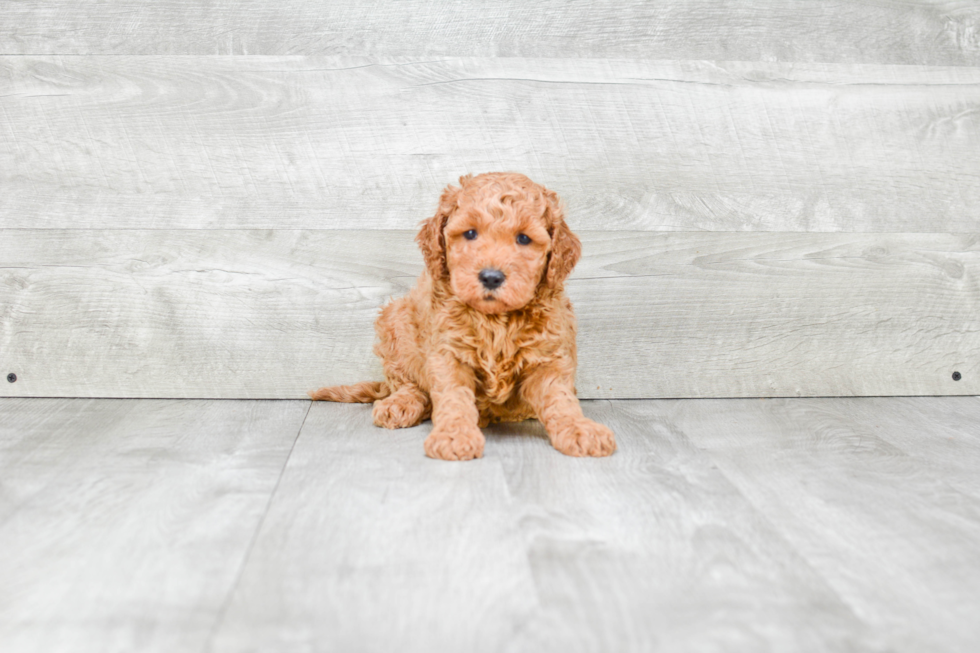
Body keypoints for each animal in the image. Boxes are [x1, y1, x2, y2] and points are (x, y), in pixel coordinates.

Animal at [308, 171, 612, 460]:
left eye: (524, 238)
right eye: (470, 234)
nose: (491, 277)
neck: (495, 319)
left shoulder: (547, 355)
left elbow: (560, 398)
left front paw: (580, 429)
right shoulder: (447, 352)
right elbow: (453, 397)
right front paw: (454, 437)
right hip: (396, 322)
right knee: (407, 383)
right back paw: (401, 404)